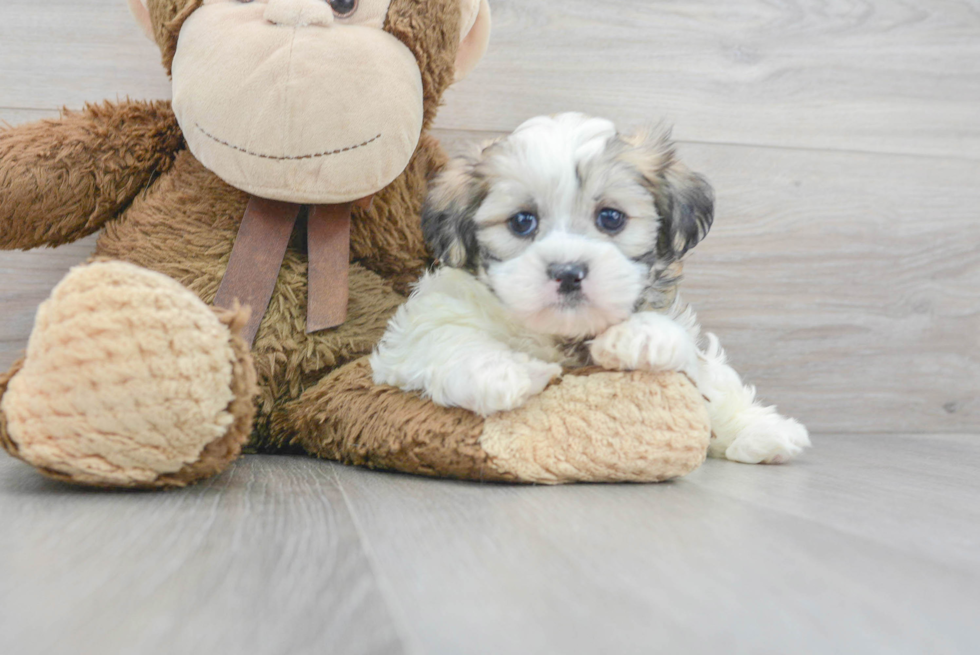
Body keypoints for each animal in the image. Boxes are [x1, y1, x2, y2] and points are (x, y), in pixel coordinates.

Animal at [372, 115, 808, 468]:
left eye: (611, 218)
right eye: (522, 222)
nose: (567, 272)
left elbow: (695, 361)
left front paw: (642, 336)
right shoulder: (425, 322)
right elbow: (445, 335)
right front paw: (503, 371)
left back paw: (762, 431)